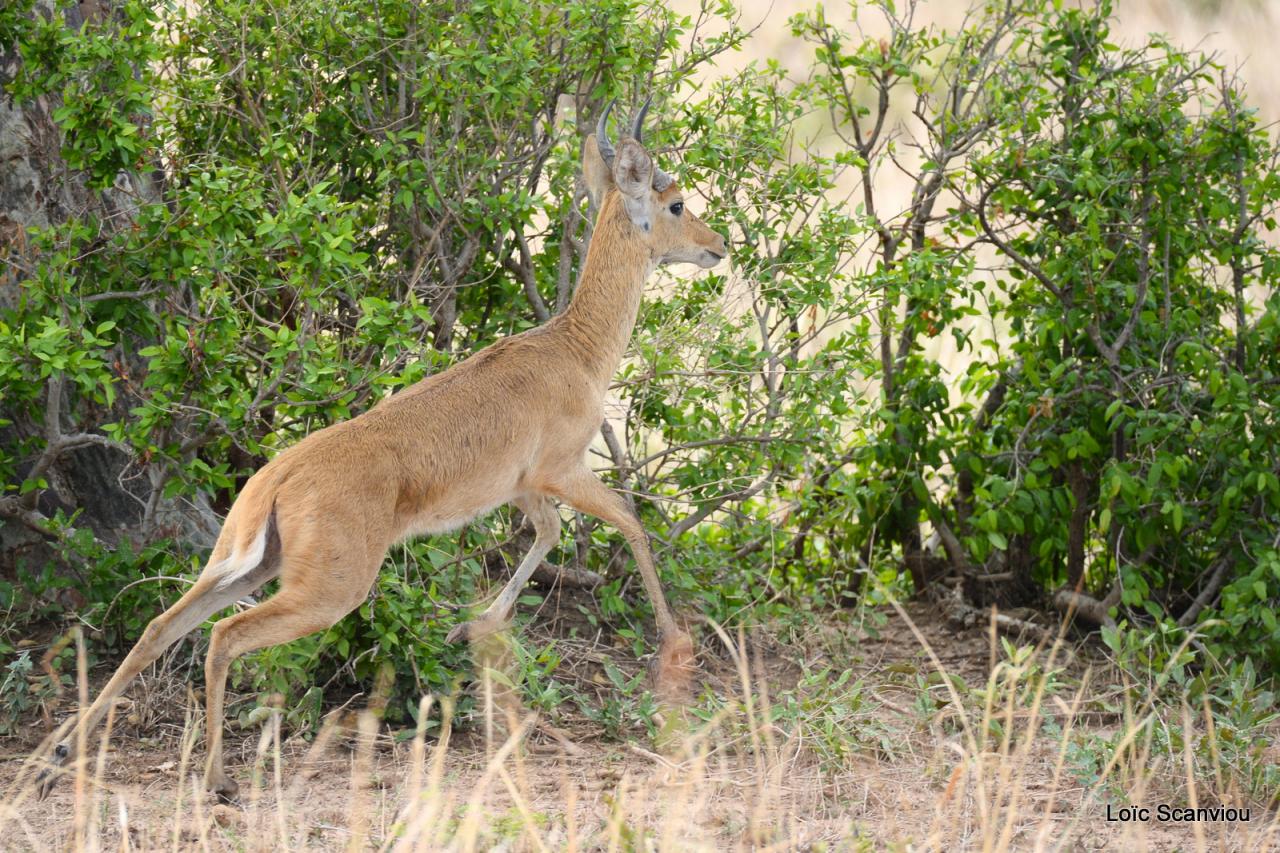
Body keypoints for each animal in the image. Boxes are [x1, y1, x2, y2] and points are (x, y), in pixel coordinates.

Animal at [35, 99, 727, 799]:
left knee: (161, 627)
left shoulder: (526, 489)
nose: (717, 246)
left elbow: (551, 535)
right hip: (328, 590)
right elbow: (630, 521)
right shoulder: (563, 470)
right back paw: (215, 779)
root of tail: (279, 478)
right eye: (674, 202)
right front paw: (674, 648)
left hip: (244, 563)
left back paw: (59, 756)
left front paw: (471, 625)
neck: (575, 350)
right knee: (224, 636)